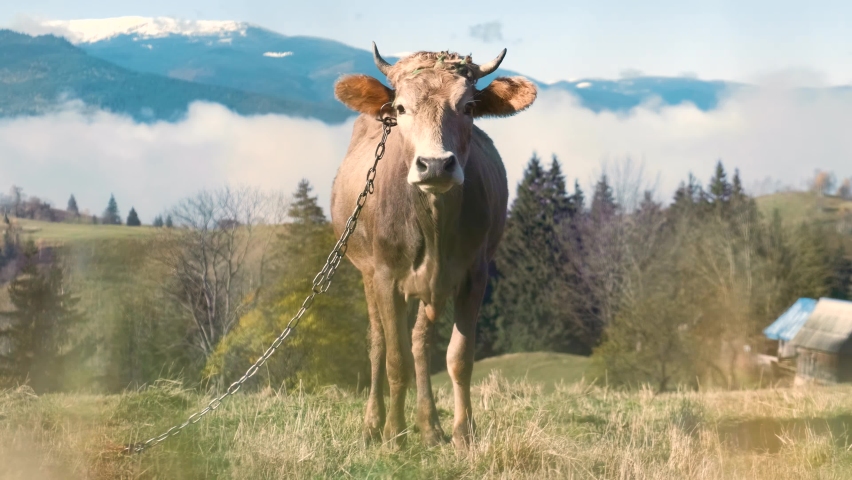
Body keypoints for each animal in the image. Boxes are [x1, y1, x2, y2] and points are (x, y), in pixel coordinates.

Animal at [330, 44, 537, 449]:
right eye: (401, 108)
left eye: (468, 107)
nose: (436, 165)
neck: (434, 220)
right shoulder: (384, 276)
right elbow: (394, 359)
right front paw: (393, 434)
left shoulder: (474, 275)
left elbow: (458, 358)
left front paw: (463, 433)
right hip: (367, 272)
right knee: (379, 342)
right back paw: (373, 425)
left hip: (429, 286)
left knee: (420, 344)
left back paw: (429, 427)